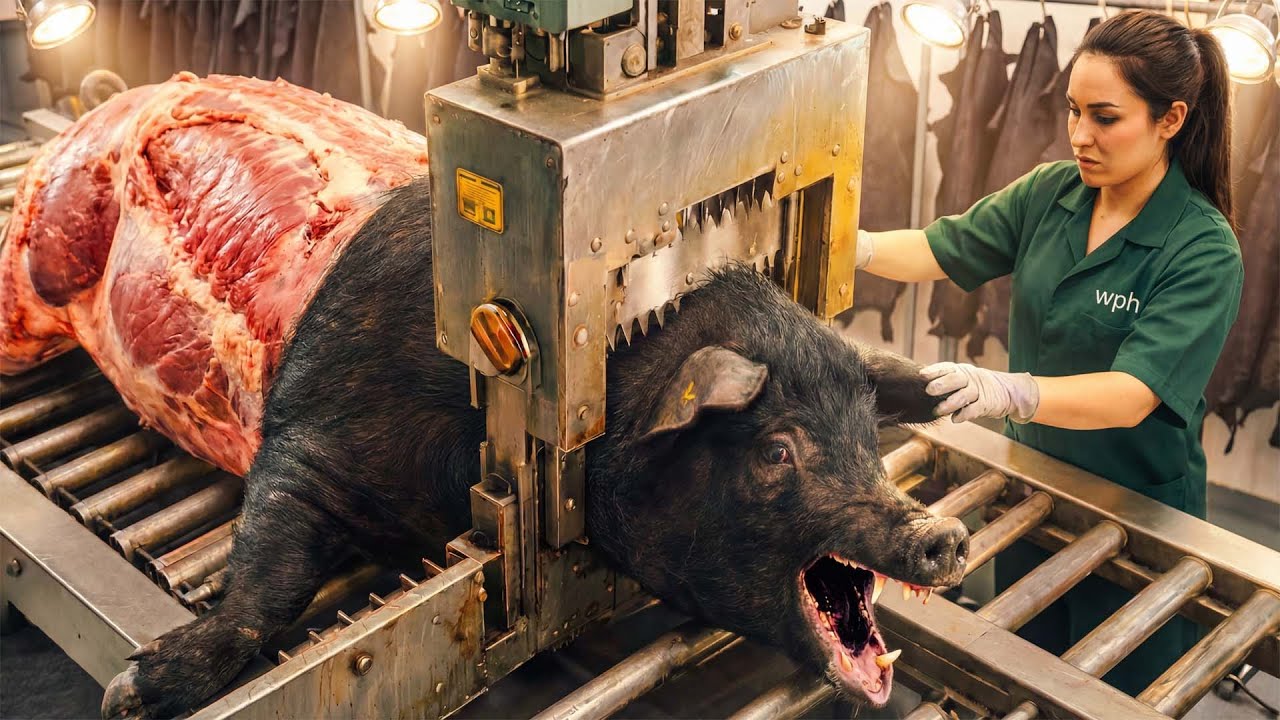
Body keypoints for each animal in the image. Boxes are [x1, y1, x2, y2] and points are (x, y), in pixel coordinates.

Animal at [91, 176, 968, 718]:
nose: (944, 534)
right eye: (778, 452)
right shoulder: (314, 428)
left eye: (868, 433)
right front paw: (130, 691)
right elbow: (269, 568)